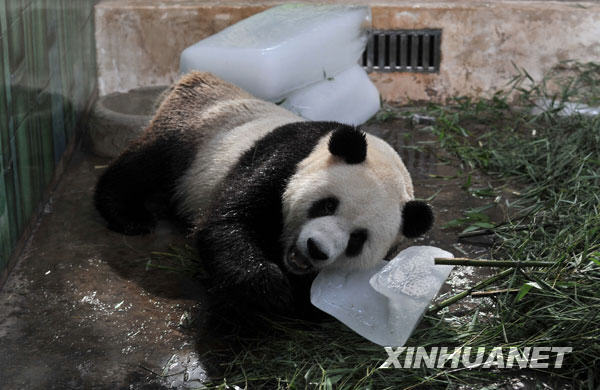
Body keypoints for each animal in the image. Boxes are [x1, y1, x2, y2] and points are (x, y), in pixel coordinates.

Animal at [94, 72, 434, 316]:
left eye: (357, 240)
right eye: (326, 205)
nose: (316, 249)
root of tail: (194, 78)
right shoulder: (284, 157)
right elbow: (226, 222)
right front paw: (268, 288)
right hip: (194, 134)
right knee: (143, 164)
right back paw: (129, 215)